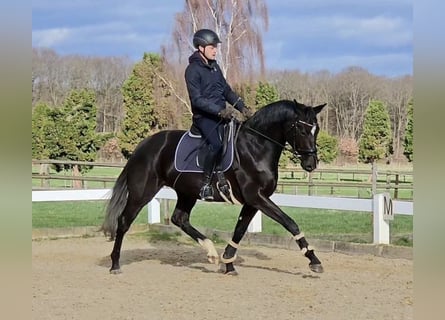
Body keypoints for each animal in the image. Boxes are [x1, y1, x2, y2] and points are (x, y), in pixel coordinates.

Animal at [101, 99, 326, 274]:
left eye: (316, 130)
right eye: (302, 129)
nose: (310, 164)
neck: (256, 147)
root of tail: (143, 146)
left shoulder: (252, 201)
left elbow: (239, 230)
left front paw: (228, 263)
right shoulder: (256, 197)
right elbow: (290, 222)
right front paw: (313, 260)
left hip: (186, 193)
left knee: (179, 219)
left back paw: (211, 252)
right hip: (142, 193)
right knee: (124, 221)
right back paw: (115, 264)